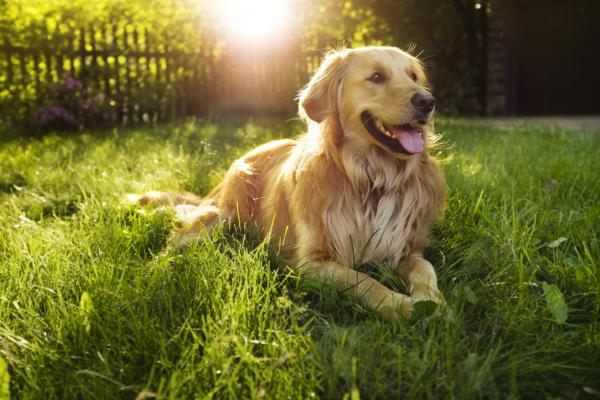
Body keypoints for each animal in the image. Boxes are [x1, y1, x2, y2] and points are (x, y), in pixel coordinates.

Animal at [129, 46, 446, 318]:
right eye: (377, 77)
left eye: (413, 76)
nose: (428, 102)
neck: (372, 180)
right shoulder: (312, 262)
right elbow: (362, 280)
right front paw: (398, 304)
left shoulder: (404, 248)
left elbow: (425, 267)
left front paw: (431, 300)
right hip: (218, 217)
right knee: (172, 244)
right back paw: (153, 275)